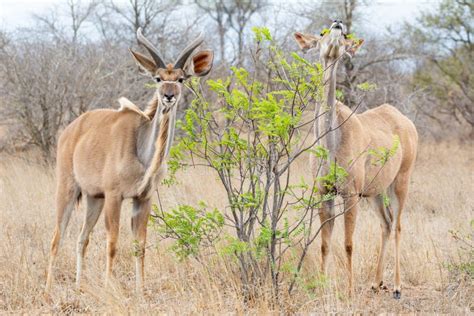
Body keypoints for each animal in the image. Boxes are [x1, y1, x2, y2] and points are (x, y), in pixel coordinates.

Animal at [45, 28, 213, 292]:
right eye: (158, 78)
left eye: (181, 79)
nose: (168, 96)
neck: (142, 153)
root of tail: (69, 131)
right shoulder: (115, 196)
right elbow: (113, 243)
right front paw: (108, 288)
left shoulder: (143, 198)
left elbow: (139, 246)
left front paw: (140, 292)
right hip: (68, 190)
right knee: (57, 238)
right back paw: (47, 291)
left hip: (94, 198)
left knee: (82, 238)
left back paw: (78, 287)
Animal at [294, 20, 416, 298]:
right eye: (322, 33)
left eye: (345, 36)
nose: (338, 23)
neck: (331, 141)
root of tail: (407, 122)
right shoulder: (325, 192)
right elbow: (324, 243)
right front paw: (321, 286)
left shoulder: (350, 194)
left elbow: (348, 243)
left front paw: (349, 291)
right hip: (376, 192)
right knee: (386, 223)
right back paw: (376, 282)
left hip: (400, 182)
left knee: (399, 225)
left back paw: (396, 287)